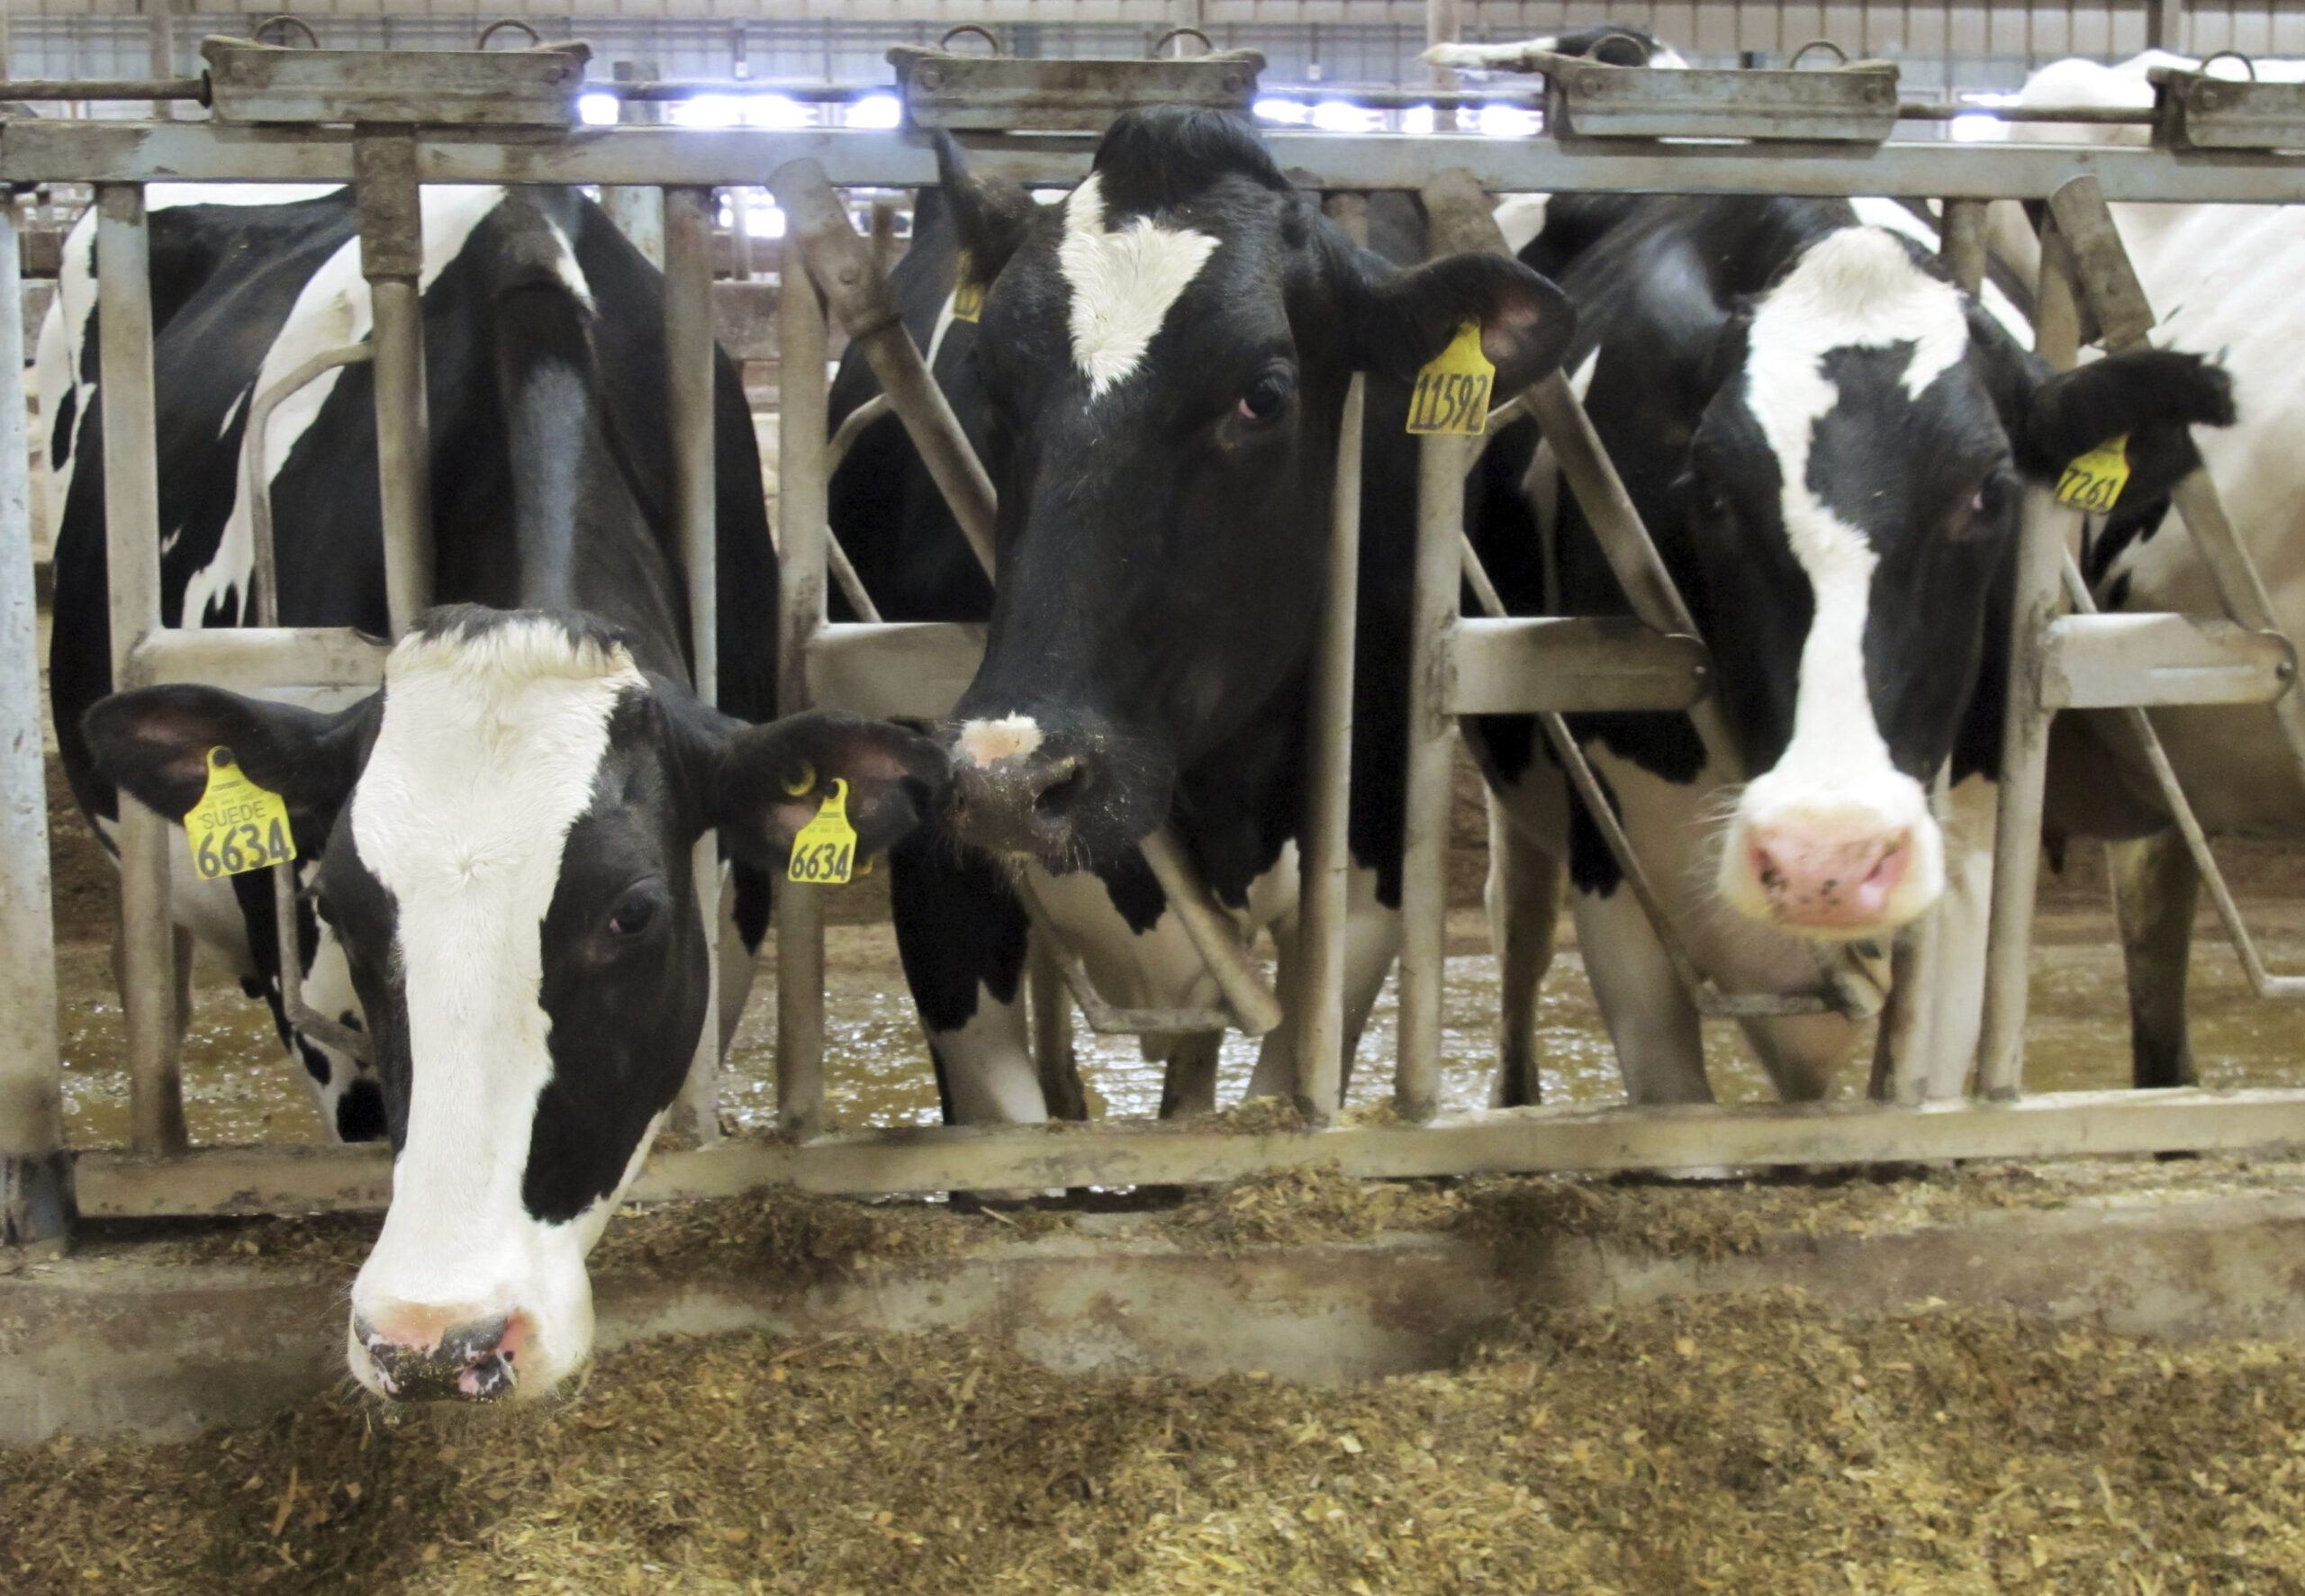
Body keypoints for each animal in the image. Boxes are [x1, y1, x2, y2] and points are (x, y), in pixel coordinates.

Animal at [1467, 193, 2235, 1103]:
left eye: (1990, 490)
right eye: (1709, 490)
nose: (1822, 854)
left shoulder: (1961, 889)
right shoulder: (1617, 881)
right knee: (1518, 925)